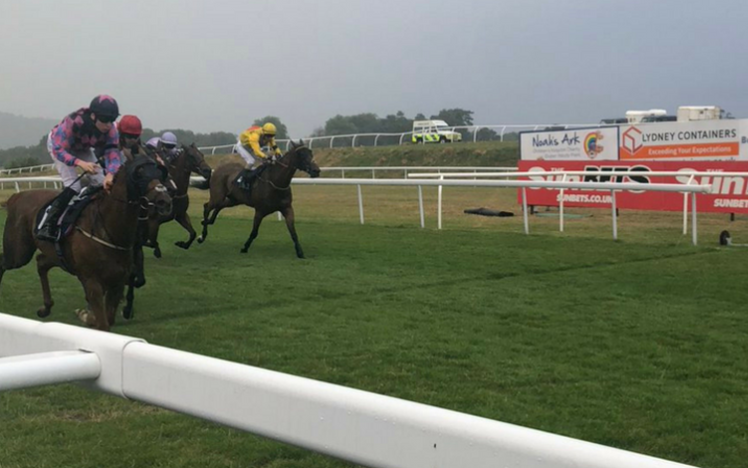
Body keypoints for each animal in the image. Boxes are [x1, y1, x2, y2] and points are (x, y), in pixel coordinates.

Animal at [0, 157, 171, 330]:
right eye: (140, 175)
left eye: (160, 174)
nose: (164, 201)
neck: (109, 230)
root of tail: (16, 196)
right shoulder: (92, 281)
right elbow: (102, 324)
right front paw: (87, 315)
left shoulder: (117, 282)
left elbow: (107, 320)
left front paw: (86, 315)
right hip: (18, 254)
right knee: (4, 262)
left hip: (56, 256)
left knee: (41, 262)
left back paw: (46, 307)